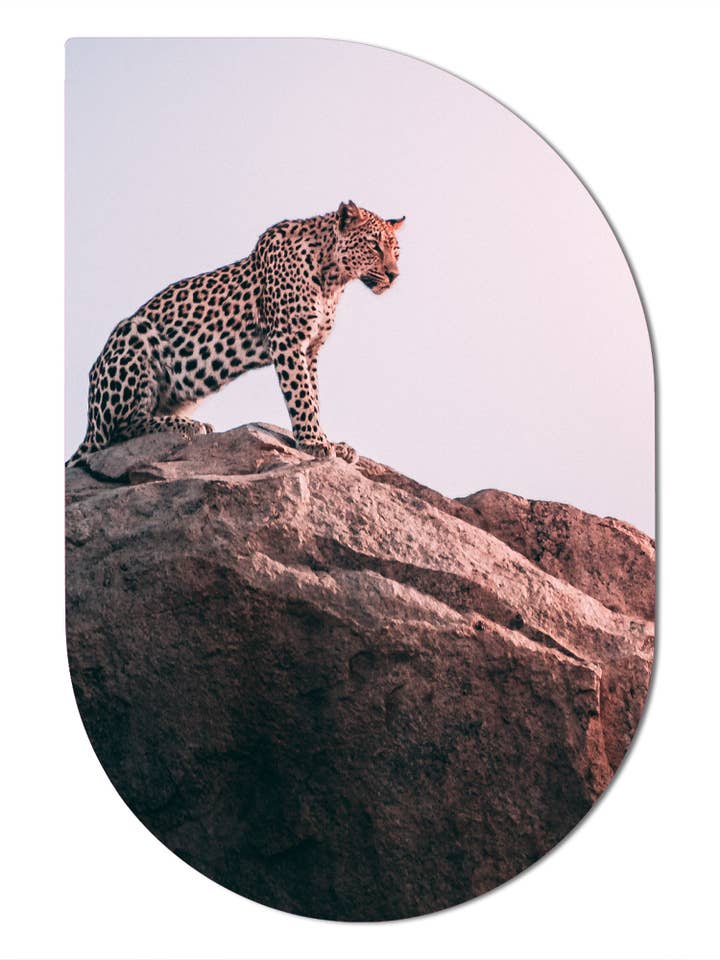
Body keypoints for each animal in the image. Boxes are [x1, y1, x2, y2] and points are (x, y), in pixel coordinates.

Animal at [66, 200, 404, 467]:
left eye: (396, 251)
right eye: (374, 245)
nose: (394, 275)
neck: (333, 279)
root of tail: (89, 423)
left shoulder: (310, 350)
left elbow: (314, 395)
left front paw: (329, 441)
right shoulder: (288, 339)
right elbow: (301, 396)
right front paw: (314, 443)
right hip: (134, 332)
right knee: (120, 429)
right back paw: (188, 425)